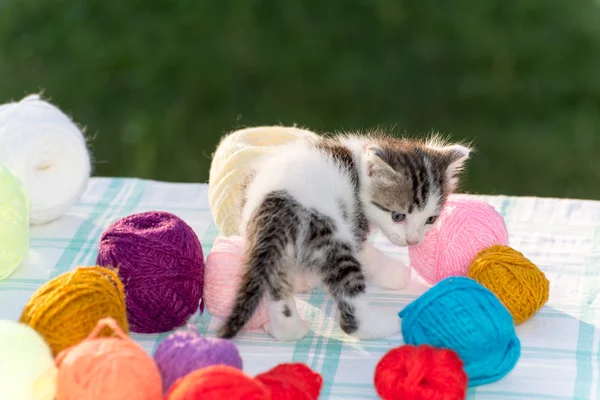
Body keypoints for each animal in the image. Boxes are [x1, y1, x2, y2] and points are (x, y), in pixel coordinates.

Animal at [218, 131, 472, 340]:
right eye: (398, 216)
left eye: (431, 219)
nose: (414, 240)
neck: (359, 170)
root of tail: (276, 208)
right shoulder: (354, 227)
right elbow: (368, 254)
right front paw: (397, 274)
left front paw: (303, 281)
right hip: (329, 237)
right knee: (351, 309)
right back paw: (387, 323)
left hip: (273, 254)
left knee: (277, 289)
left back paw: (288, 330)